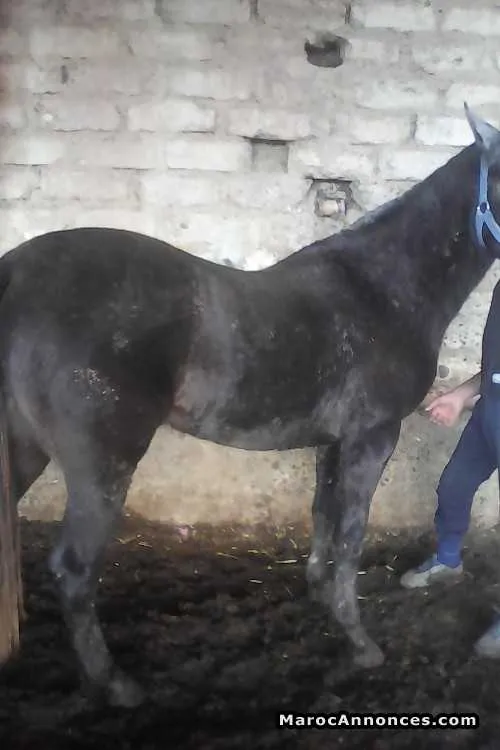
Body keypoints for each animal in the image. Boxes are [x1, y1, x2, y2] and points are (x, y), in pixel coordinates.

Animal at [0, 105, 499, 708]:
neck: (386, 288)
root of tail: (16, 274)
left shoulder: (332, 442)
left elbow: (323, 515)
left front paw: (320, 598)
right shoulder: (373, 436)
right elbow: (351, 533)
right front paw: (361, 645)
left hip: (25, 447)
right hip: (101, 464)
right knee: (74, 570)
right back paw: (118, 684)